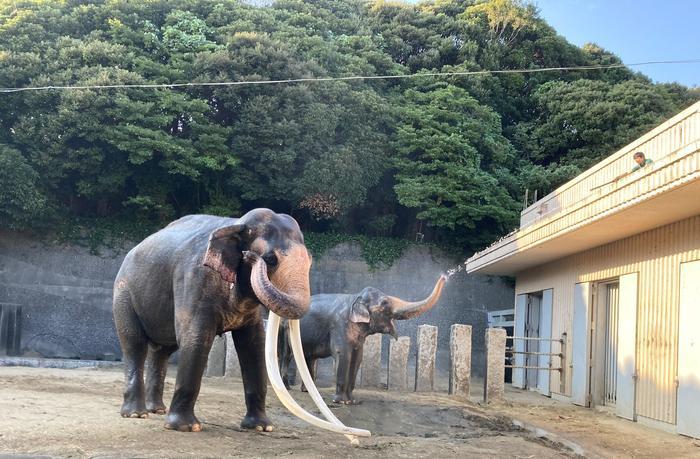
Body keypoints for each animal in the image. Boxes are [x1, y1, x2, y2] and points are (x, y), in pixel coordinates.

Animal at [112, 210, 318, 434]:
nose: (251, 256)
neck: (237, 224)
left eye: (310, 261)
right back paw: (136, 414)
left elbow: (253, 345)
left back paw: (156, 409)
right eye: (271, 260)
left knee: (162, 351)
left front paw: (261, 427)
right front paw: (186, 427)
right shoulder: (195, 280)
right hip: (123, 293)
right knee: (134, 344)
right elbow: (196, 338)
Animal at [278, 274, 446, 404]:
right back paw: (287, 387)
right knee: (288, 355)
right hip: (286, 329)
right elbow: (343, 355)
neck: (355, 297)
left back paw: (308, 391)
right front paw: (340, 401)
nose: (445, 276)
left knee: (309, 357)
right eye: (384, 303)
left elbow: (357, 358)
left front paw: (351, 401)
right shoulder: (340, 325)